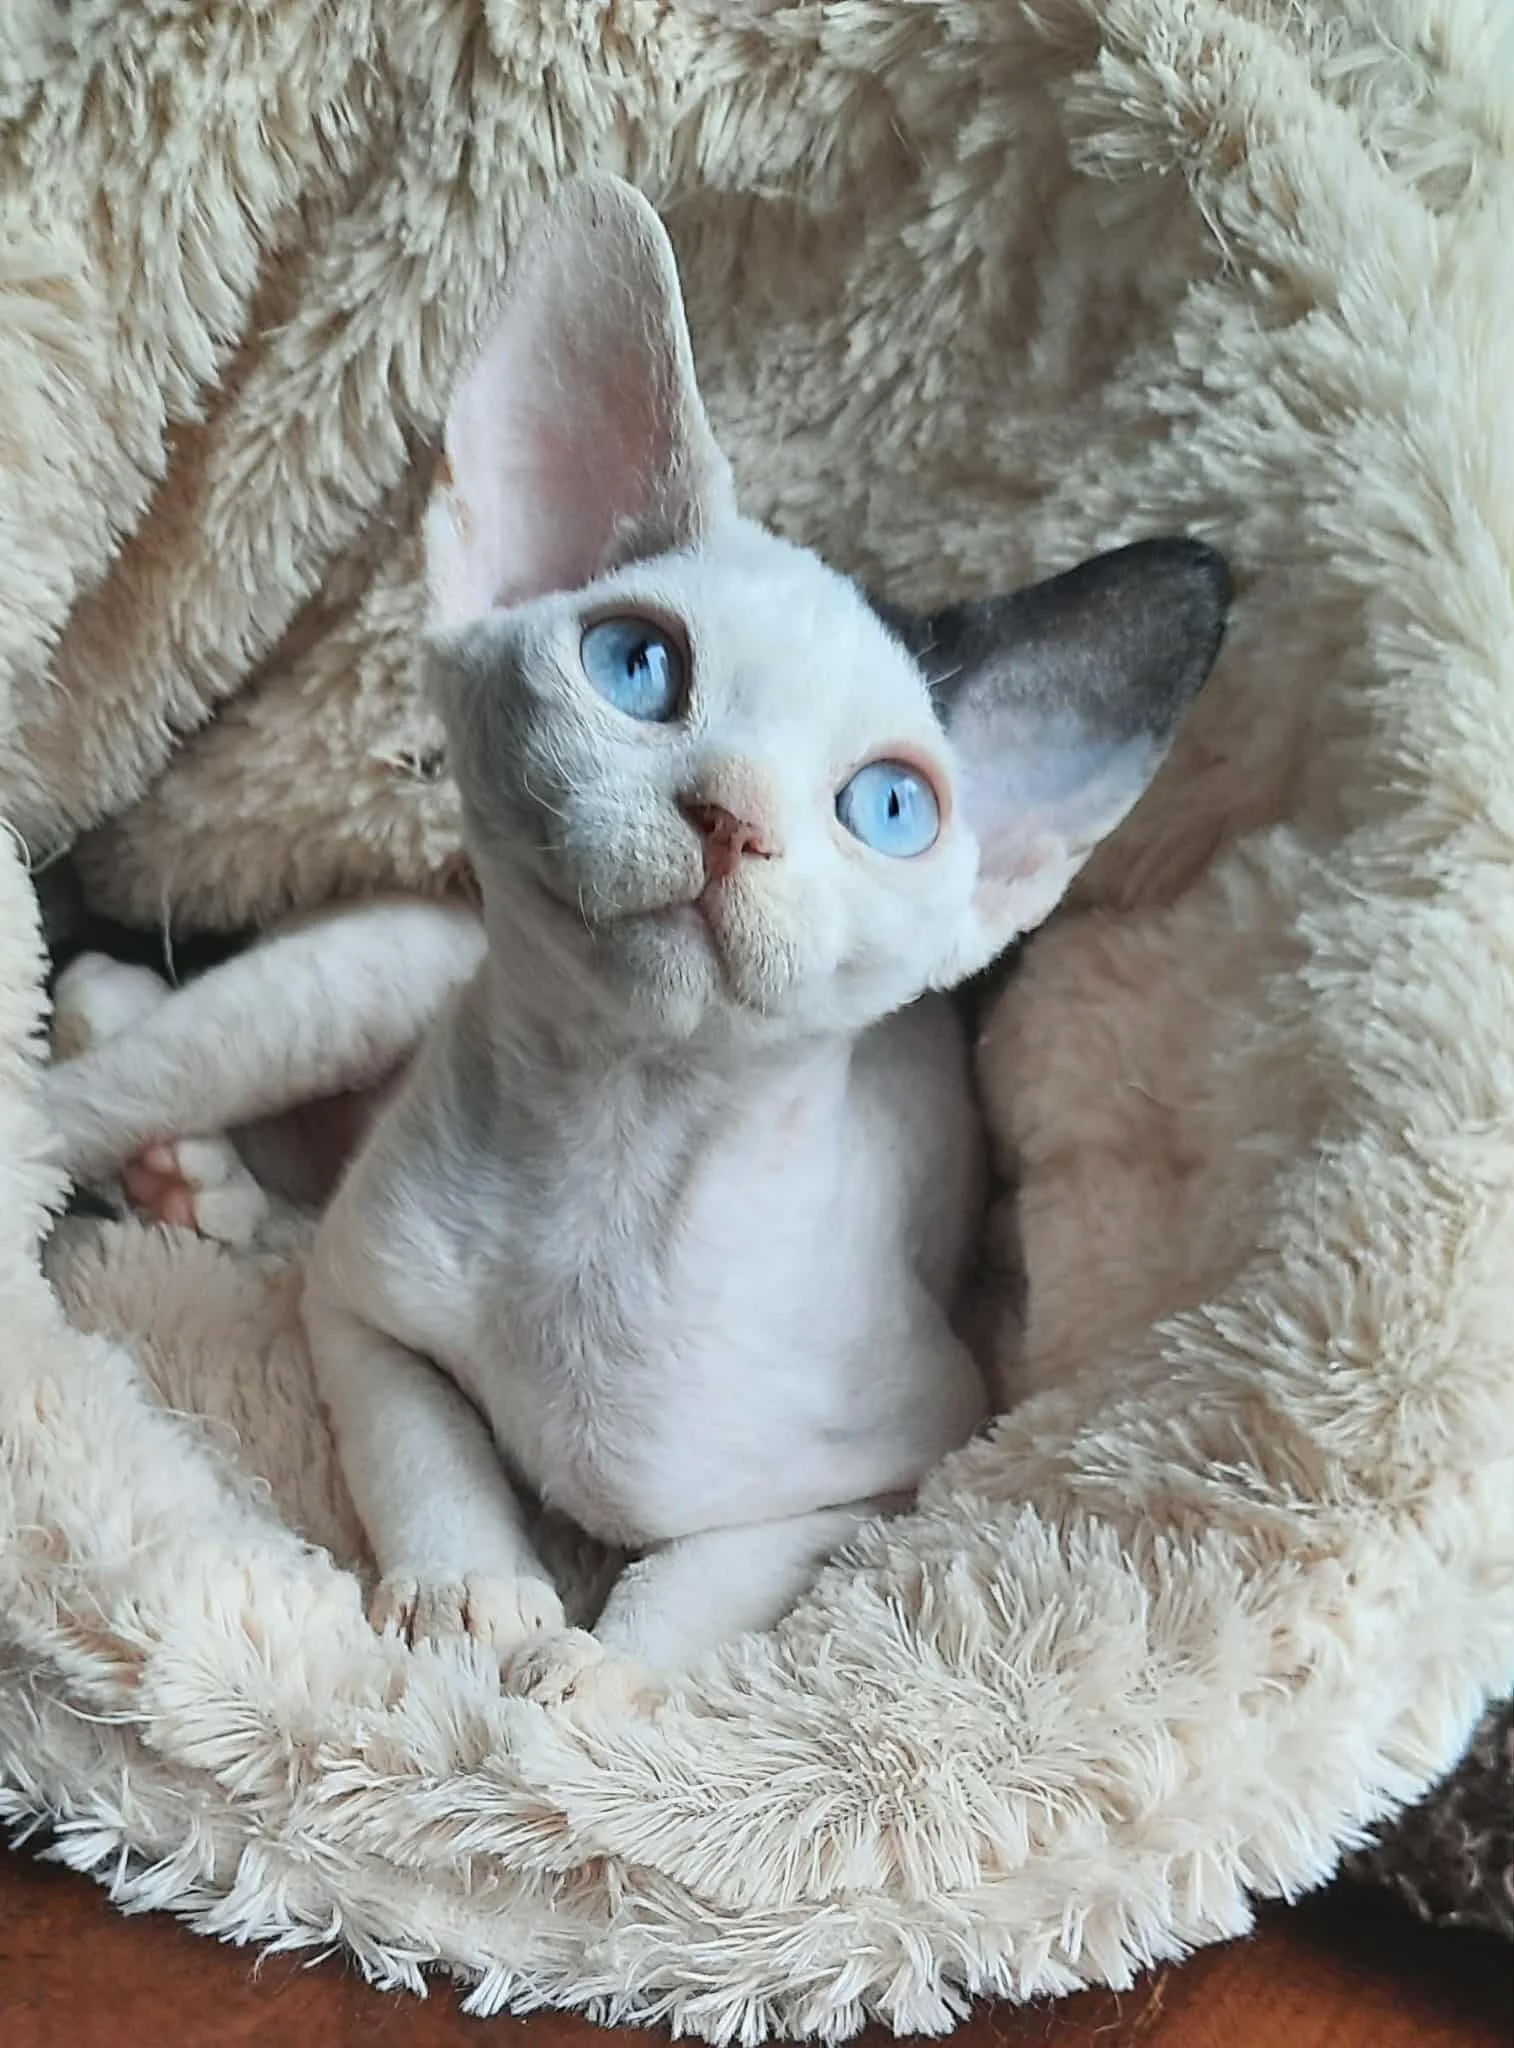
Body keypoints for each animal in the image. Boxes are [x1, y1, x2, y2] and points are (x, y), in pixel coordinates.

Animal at [40, 175, 1231, 1710]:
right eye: (635, 667)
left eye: (889, 808)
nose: (729, 817)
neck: (616, 1158)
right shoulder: (362, 1311)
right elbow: (422, 1445)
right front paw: (474, 1597)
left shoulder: (893, 1465)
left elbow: (701, 1579)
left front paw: (597, 1678)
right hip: (357, 989)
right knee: (87, 1082)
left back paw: (194, 1189)